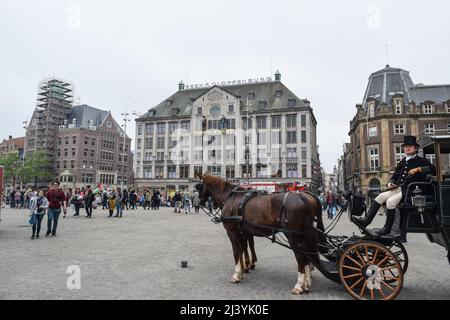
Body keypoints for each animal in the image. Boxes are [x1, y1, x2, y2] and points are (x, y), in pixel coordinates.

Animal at [195, 174, 326, 296]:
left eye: (198, 186)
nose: (200, 202)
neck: (229, 197)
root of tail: (302, 197)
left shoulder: (232, 231)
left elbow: (236, 252)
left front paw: (237, 275)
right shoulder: (243, 231)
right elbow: (244, 248)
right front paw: (244, 269)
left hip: (292, 235)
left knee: (300, 256)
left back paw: (299, 286)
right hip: (301, 236)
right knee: (307, 255)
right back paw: (307, 284)